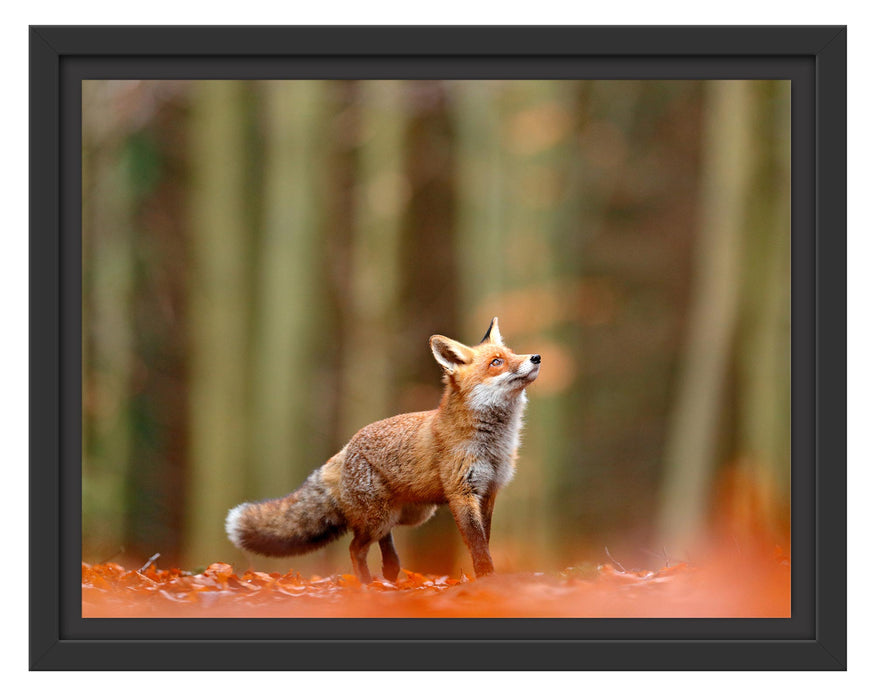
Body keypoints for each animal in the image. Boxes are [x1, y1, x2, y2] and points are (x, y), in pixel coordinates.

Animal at [225, 317, 541, 583]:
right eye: (496, 362)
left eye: (512, 353)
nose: (535, 357)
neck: (494, 444)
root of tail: (345, 448)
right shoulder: (462, 493)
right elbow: (477, 546)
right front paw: (487, 579)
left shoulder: (488, 491)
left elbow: (484, 540)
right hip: (380, 517)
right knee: (355, 548)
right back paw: (366, 586)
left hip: (409, 514)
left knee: (384, 543)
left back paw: (390, 574)